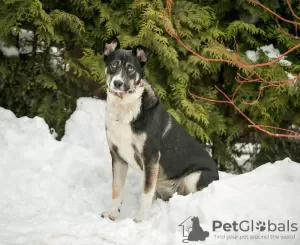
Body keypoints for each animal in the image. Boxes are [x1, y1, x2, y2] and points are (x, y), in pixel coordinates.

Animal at [100, 37, 218, 223]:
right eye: (113, 65)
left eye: (130, 68)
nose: (117, 83)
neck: (125, 107)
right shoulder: (118, 157)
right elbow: (116, 189)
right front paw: (111, 213)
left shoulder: (150, 157)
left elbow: (146, 192)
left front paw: (140, 219)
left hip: (194, 177)